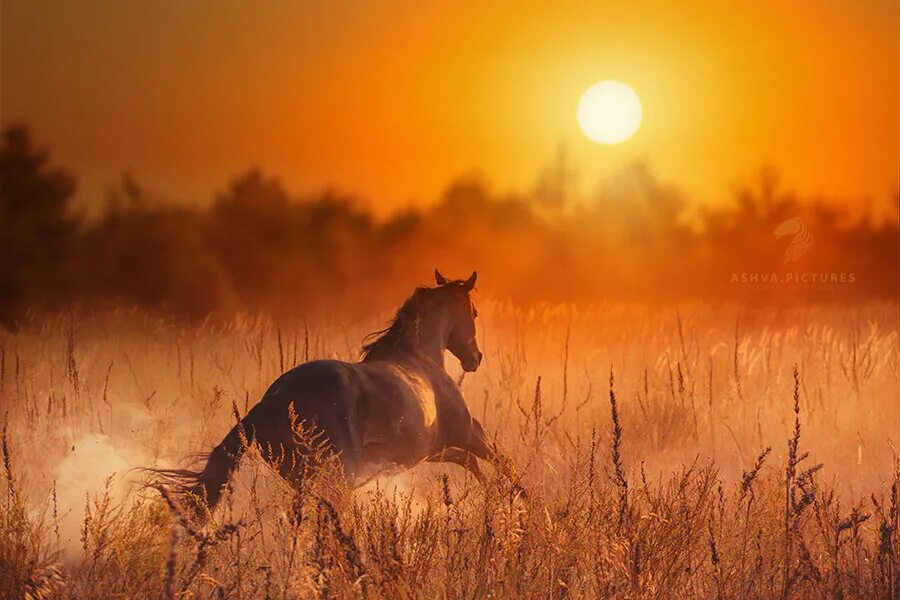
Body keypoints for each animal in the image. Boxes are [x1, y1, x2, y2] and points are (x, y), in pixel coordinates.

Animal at [163, 268, 512, 516]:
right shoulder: (467, 433)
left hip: (301, 476)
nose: (475, 359)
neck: (420, 355)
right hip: (339, 472)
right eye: (474, 313)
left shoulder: (432, 450)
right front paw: (510, 503)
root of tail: (268, 404)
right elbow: (500, 460)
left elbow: (472, 462)